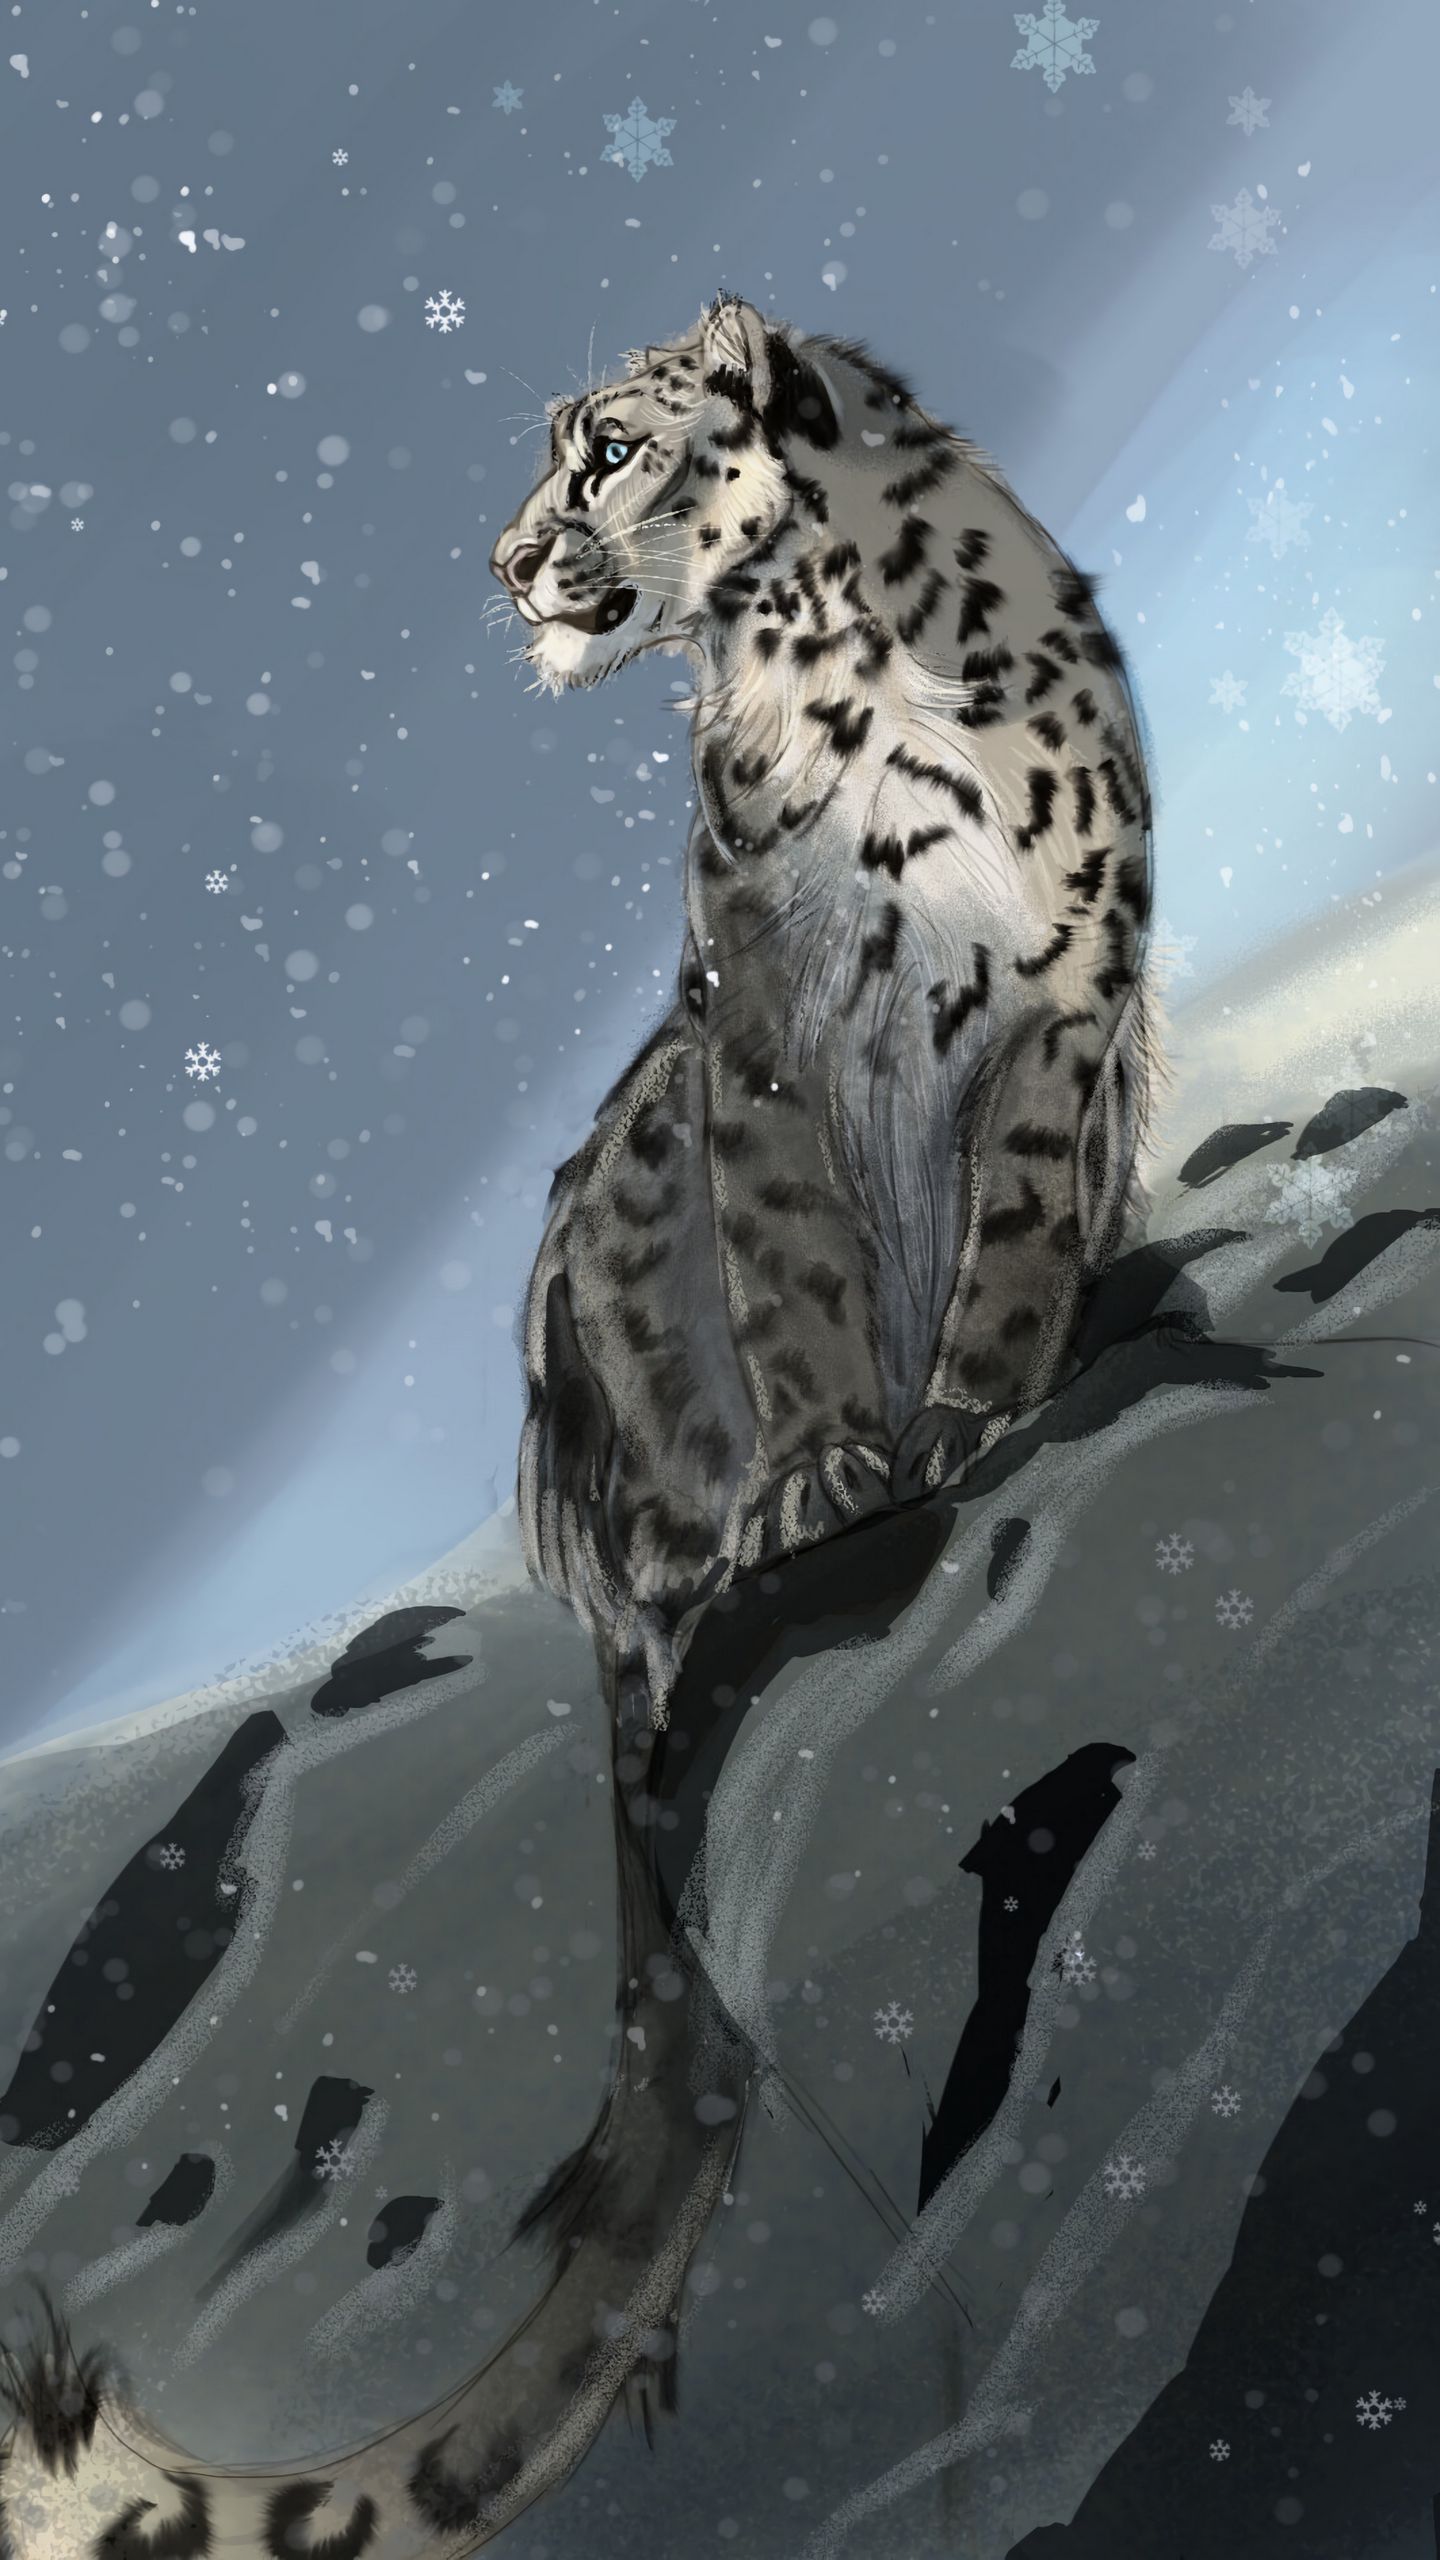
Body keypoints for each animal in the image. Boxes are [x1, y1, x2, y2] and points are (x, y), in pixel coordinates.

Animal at [0, 295, 1165, 2559]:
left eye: (606, 450)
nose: (501, 557)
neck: (847, 669)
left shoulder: (1067, 989)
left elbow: (1012, 1223)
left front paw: (984, 1396)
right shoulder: (766, 1037)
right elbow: (796, 1277)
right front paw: (831, 1466)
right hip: (609, 1229)